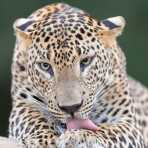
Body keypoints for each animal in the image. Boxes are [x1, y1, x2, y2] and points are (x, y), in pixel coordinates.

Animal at [8, 2, 148, 148]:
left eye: (85, 61)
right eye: (45, 66)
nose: (71, 108)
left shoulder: (129, 124)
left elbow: (108, 131)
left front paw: (78, 136)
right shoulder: (23, 105)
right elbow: (32, 120)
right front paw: (43, 140)